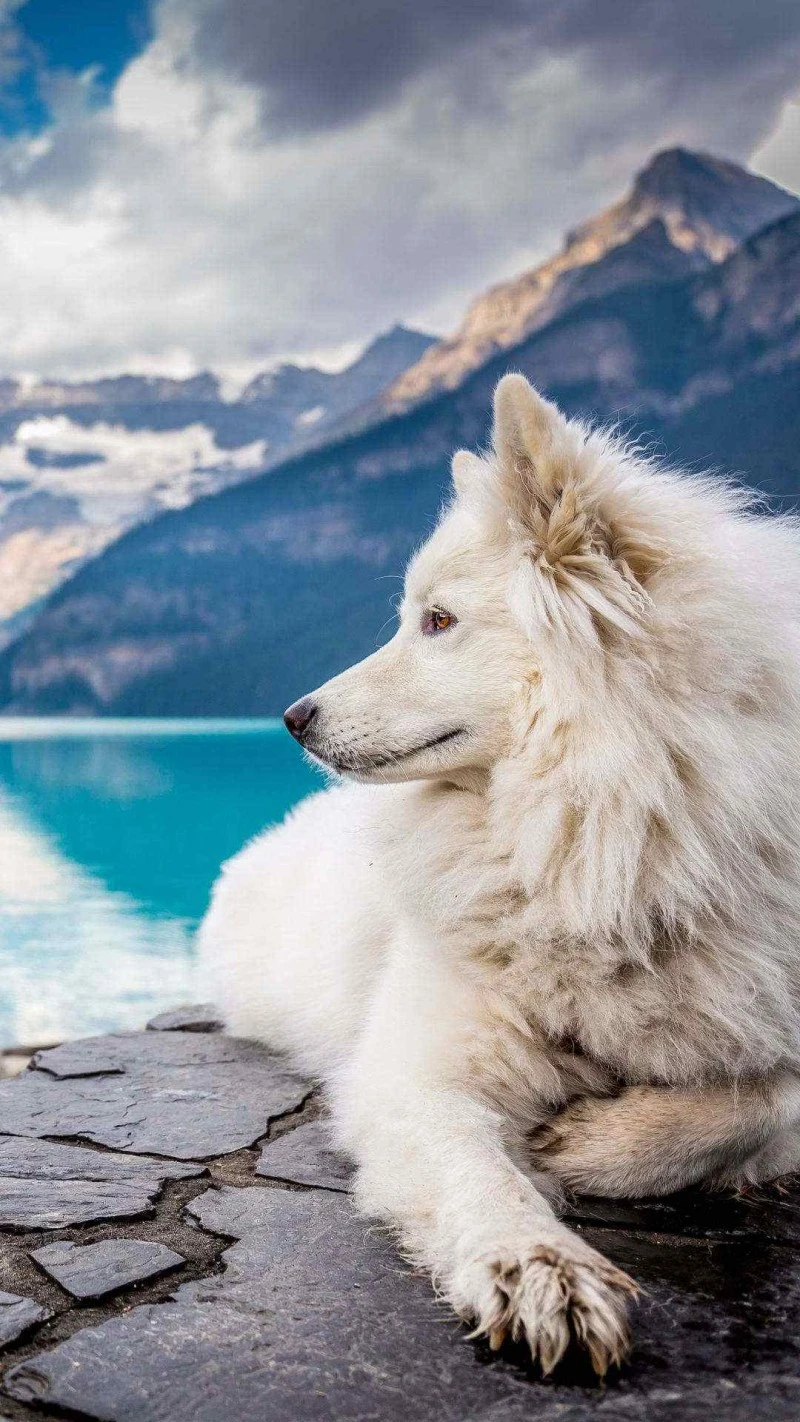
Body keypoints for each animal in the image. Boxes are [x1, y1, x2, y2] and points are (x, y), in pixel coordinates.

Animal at [199, 374, 800, 1374]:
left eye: (438, 621)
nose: (293, 717)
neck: (601, 847)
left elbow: (765, 1097)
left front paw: (599, 1144)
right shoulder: (418, 1073)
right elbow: (483, 1179)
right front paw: (538, 1269)